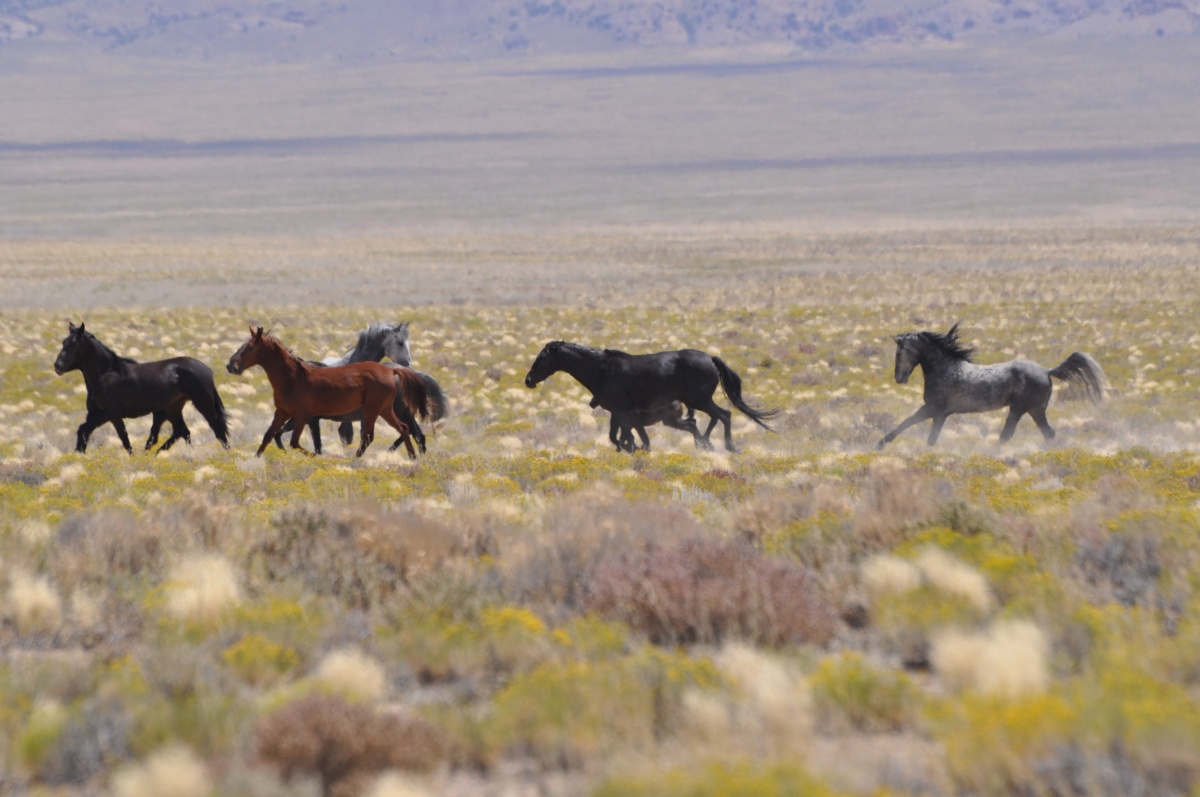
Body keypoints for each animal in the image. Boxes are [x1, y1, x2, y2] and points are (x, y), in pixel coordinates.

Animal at [52, 319, 229, 453]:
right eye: (63, 342)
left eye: (74, 343)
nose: (58, 366)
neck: (106, 374)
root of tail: (206, 368)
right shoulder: (108, 415)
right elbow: (124, 439)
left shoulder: (107, 413)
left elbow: (84, 430)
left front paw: (79, 454)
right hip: (173, 408)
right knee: (182, 432)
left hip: (203, 403)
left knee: (217, 429)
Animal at [226, 326, 429, 458]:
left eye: (250, 347)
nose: (231, 366)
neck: (293, 378)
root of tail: (391, 371)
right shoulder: (283, 412)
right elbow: (269, 435)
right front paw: (257, 459)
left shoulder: (303, 416)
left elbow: (297, 443)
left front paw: (318, 459)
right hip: (385, 409)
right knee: (403, 429)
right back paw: (412, 457)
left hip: (373, 410)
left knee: (369, 437)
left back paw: (355, 460)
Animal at [525, 340, 777, 453]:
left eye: (542, 358)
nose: (528, 380)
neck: (601, 370)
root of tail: (710, 358)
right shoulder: (617, 413)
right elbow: (618, 436)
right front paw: (633, 448)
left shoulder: (621, 411)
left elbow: (626, 435)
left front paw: (635, 448)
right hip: (697, 401)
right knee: (715, 417)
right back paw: (705, 443)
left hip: (699, 399)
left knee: (724, 415)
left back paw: (725, 446)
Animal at [873, 321, 1104, 448]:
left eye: (899, 353)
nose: (899, 378)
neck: (945, 369)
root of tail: (1047, 371)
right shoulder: (940, 414)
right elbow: (926, 435)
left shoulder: (933, 409)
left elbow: (909, 423)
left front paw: (880, 445)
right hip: (1035, 410)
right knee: (1048, 433)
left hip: (1019, 409)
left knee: (1006, 435)